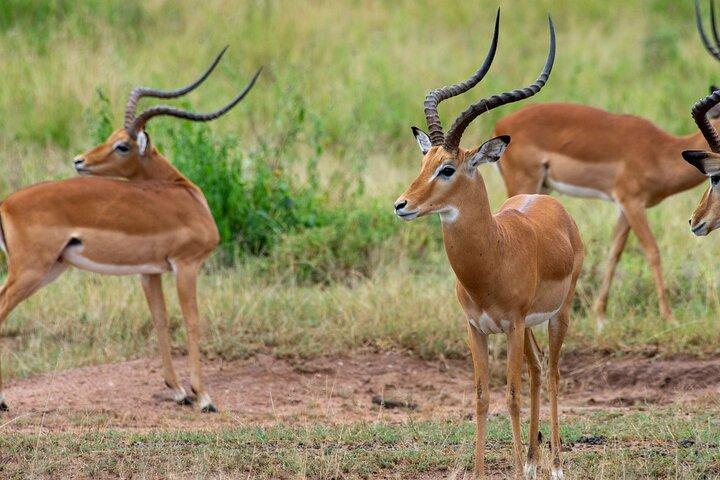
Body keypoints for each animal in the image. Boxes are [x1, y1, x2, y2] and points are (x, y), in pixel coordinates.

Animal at [0, 49, 260, 413]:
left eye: (120, 143)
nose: (79, 161)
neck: (185, 194)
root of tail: (5, 204)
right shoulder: (187, 265)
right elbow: (192, 321)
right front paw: (203, 397)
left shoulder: (149, 272)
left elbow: (160, 319)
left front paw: (178, 391)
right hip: (30, 271)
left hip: (51, 269)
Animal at [395, 12, 582, 479]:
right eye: (423, 161)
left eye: (447, 168)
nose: (401, 204)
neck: (492, 258)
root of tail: (553, 205)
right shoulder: (476, 328)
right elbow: (481, 399)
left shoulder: (510, 326)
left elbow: (510, 397)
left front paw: (516, 468)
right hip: (530, 327)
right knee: (537, 369)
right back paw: (533, 460)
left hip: (558, 315)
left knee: (553, 373)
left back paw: (554, 464)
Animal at [490, 0, 720, 324]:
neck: (661, 151)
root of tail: (501, 125)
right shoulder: (632, 202)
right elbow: (653, 250)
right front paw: (669, 316)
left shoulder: (624, 206)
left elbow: (614, 252)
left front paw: (599, 314)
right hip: (523, 183)